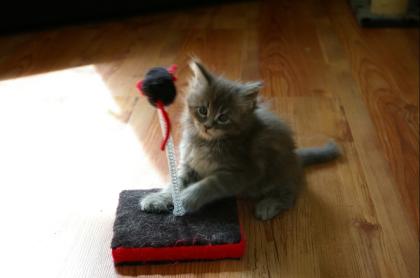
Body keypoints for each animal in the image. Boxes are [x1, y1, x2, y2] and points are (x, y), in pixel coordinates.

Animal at [141, 60, 342, 219]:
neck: (205, 142)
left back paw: (268, 205)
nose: (207, 126)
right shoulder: (189, 165)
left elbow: (207, 185)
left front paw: (185, 200)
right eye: (203, 110)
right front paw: (159, 198)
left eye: (223, 118)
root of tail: (296, 157)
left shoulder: (241, 173)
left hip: (279, 173)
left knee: (290, 195)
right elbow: (175, 184)